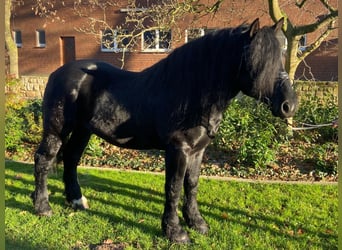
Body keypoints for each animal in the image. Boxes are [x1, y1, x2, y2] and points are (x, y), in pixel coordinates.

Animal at [33, 18, 298, 243]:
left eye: (281, 55)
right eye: (258, 61)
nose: (289, 105)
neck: (191, 94)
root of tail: (58, 73)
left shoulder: (198, 151)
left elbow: (191, 185)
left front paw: (197, 223)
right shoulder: (177, 150)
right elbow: (174, 187)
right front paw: (175, 232)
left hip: (83, 131)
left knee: (71, 159)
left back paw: (76, 200)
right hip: (56, 131)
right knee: (44, 160)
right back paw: (43, 207)